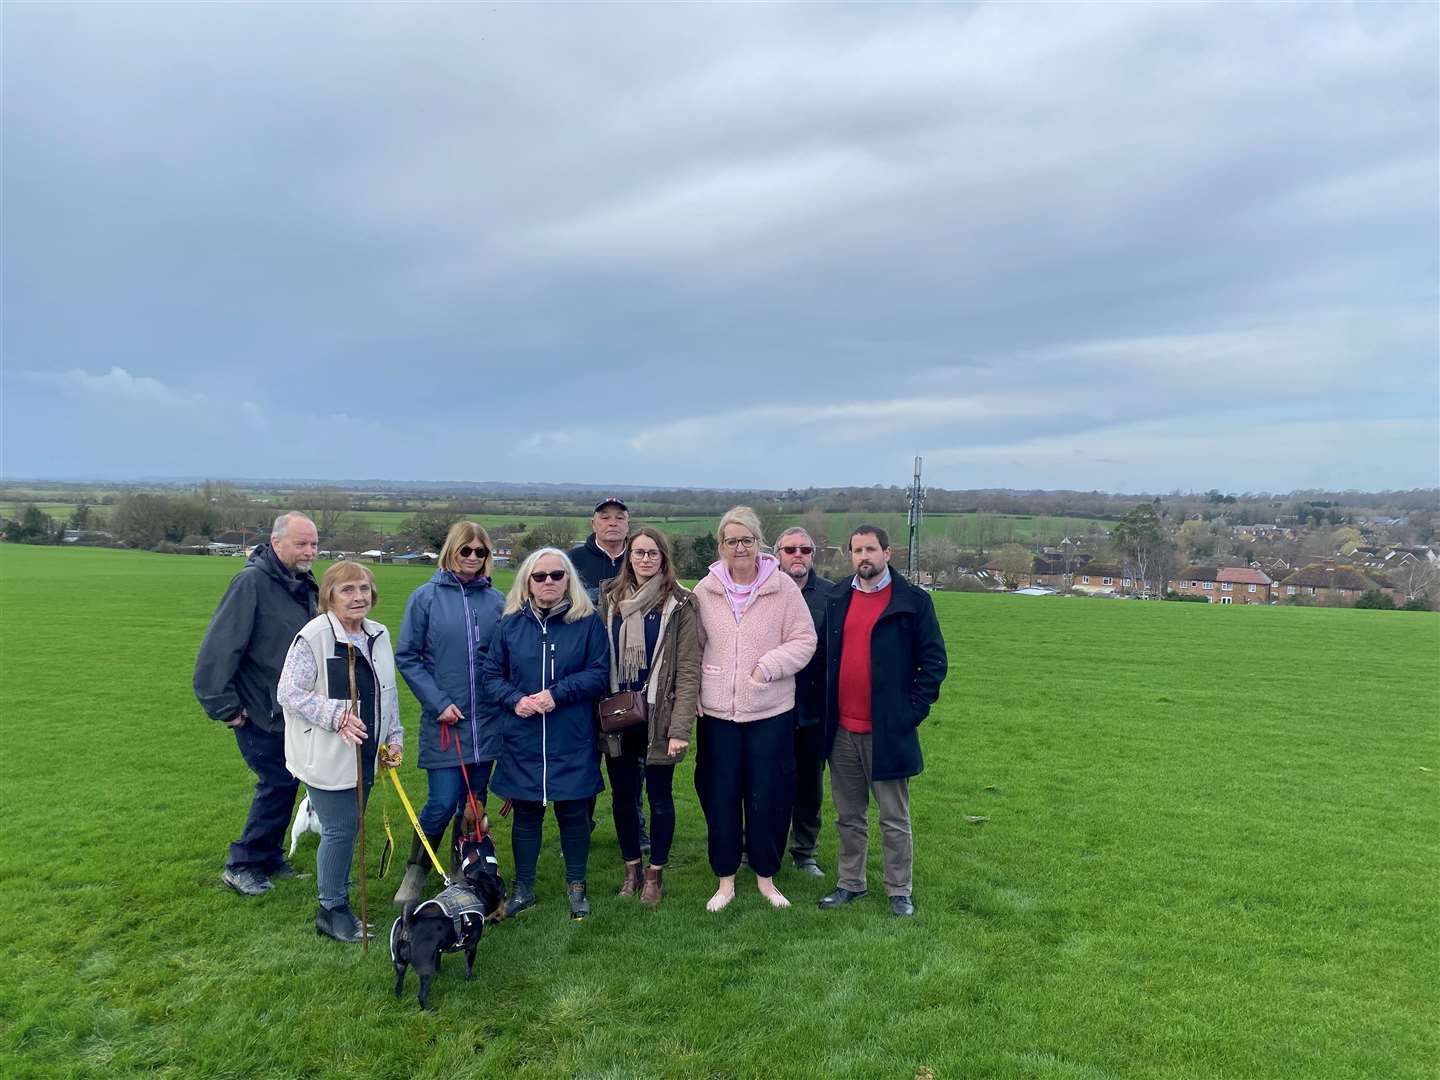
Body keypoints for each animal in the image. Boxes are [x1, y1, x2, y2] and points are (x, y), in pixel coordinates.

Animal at [394, 829, 506, 1013]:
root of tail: (408, 924)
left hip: (399, 965)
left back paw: (399, 997)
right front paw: (470, 979)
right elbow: (469, 965)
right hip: (425, 969)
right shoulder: (472, 945)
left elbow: (439, 960)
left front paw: (441, 972)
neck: (475, 888)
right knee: (422, 994)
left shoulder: (438, 950)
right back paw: (429, 1010)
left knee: (398, 983)